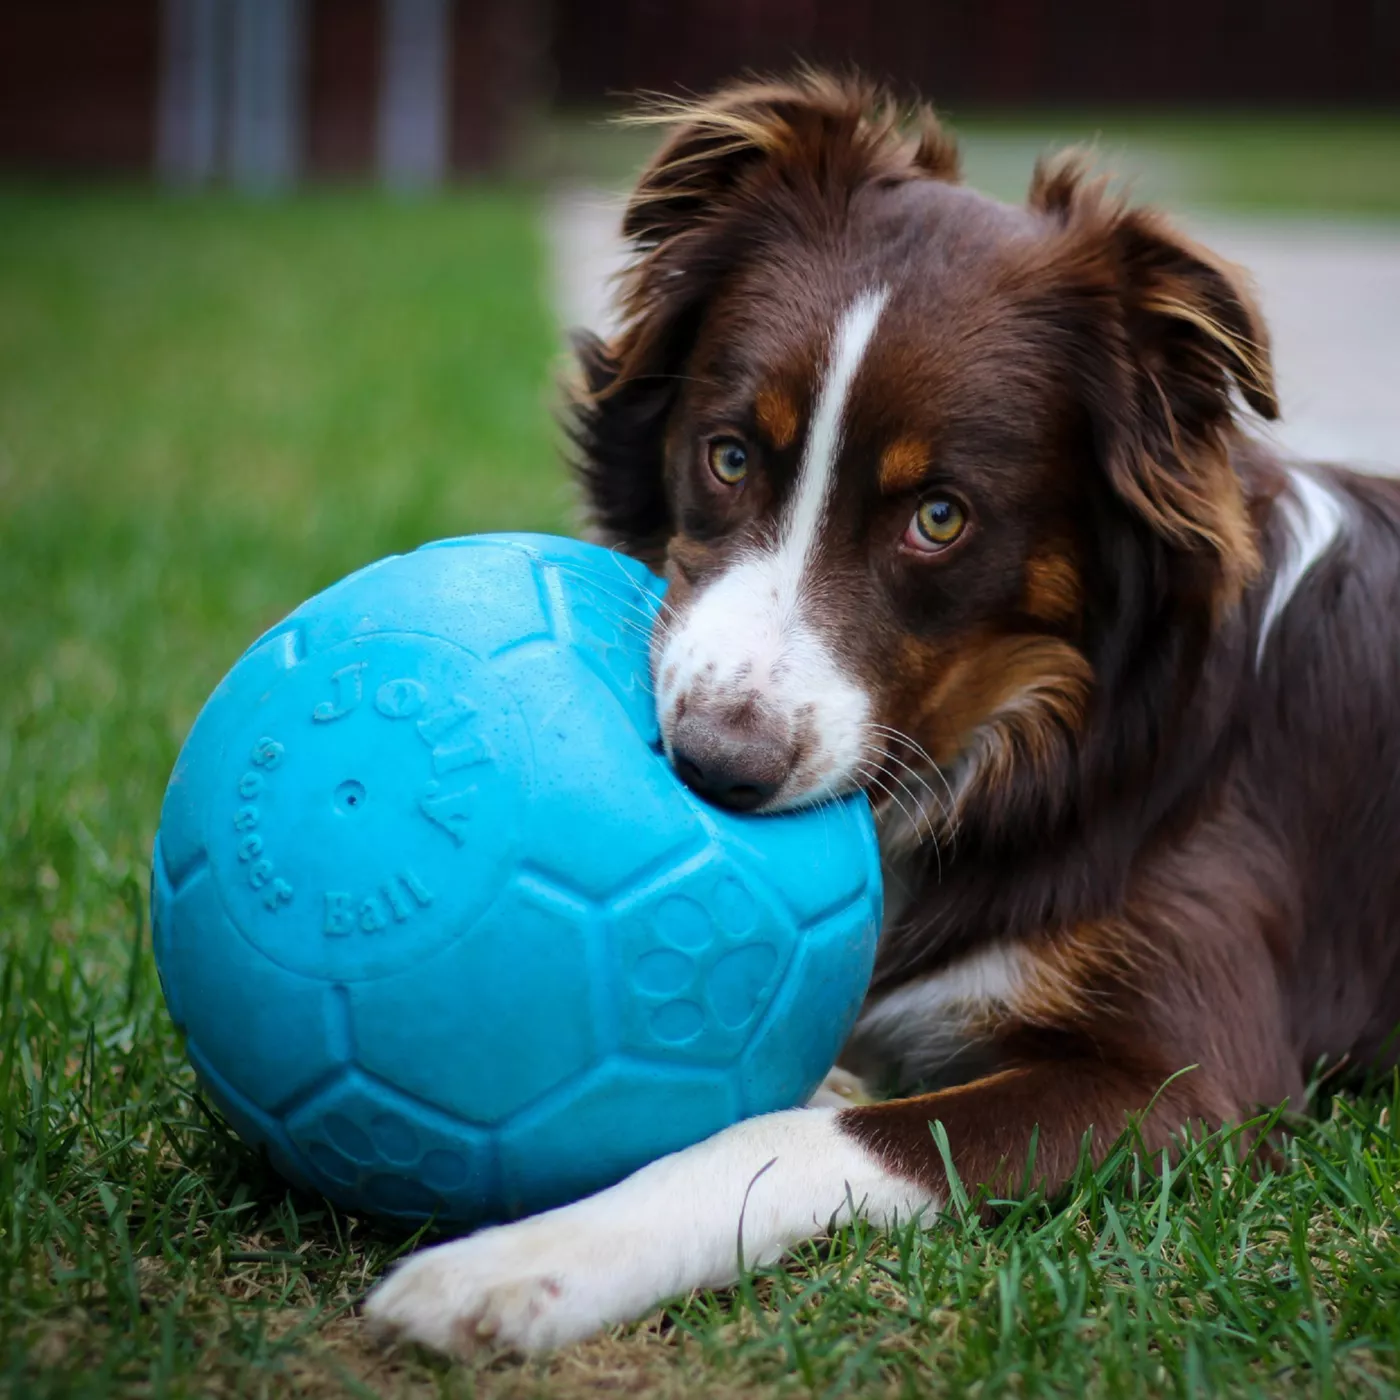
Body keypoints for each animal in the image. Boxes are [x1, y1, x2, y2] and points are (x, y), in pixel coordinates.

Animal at [364, 71, 1400, 1349]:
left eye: (939, 517)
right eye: (727, 455)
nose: (715, 766)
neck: (1060, 740)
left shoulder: (1193, 1081)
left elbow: (790, 1131)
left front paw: (520, 1260)